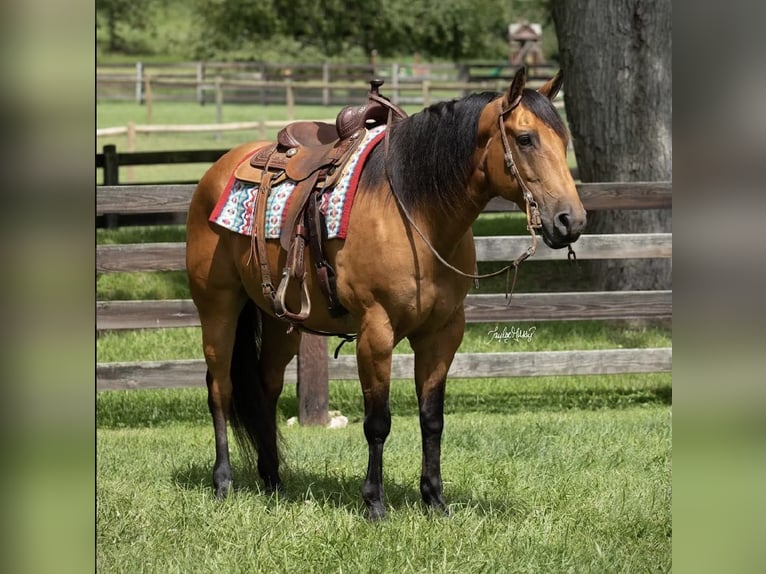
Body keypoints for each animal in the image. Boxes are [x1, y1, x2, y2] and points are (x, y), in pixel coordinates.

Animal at [188, 67, 588, 520]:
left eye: (563, 140)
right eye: (525, 139)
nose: (571, 220)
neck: (416, 213)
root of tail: (218, 169)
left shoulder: (442, 333)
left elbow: (432, 418)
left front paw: (434, 499)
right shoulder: (375, 333)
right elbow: (377, 422)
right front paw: (374, 502)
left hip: (279, 321)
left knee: (266, 388)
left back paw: (273, 481)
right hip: (218, 308)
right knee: (220, 389)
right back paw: (223, 482)